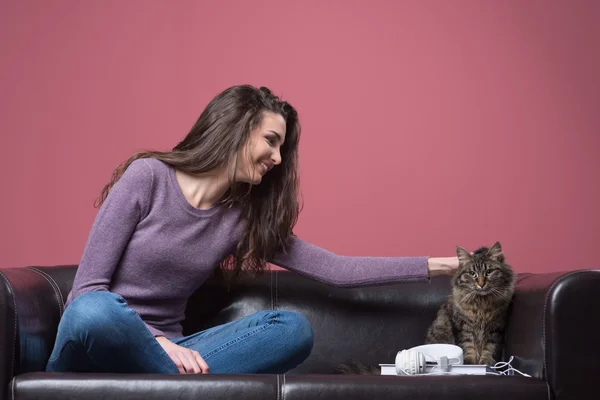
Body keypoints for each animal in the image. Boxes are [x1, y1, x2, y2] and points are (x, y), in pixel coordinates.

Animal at [340, 241, 512, 376]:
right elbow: (468, 348)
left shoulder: (496, 328)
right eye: (472, 274)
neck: (482, 304)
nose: (481, 284)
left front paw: (485, 364)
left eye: (489, 272)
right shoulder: (464, 328)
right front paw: (471, 364)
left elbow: (489, 350)